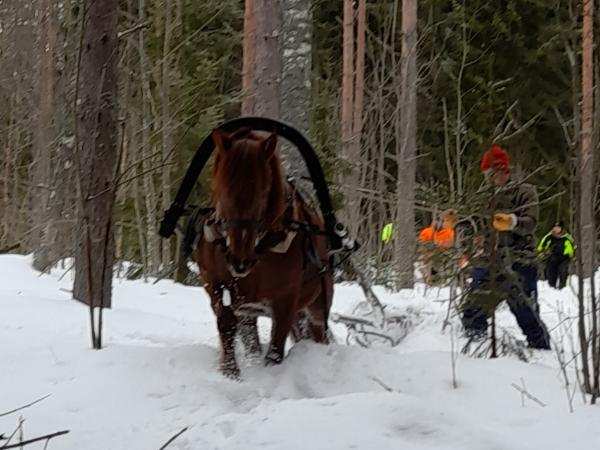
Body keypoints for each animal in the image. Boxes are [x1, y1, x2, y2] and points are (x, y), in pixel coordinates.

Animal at [192, 127, 333, 378]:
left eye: (262, 194)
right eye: (222, 191)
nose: (239, 261)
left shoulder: (286, 299)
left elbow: (276, 347)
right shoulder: (218, 286)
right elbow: (227, 327)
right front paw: (230, 374)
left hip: (316, 303)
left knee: (317, 329)